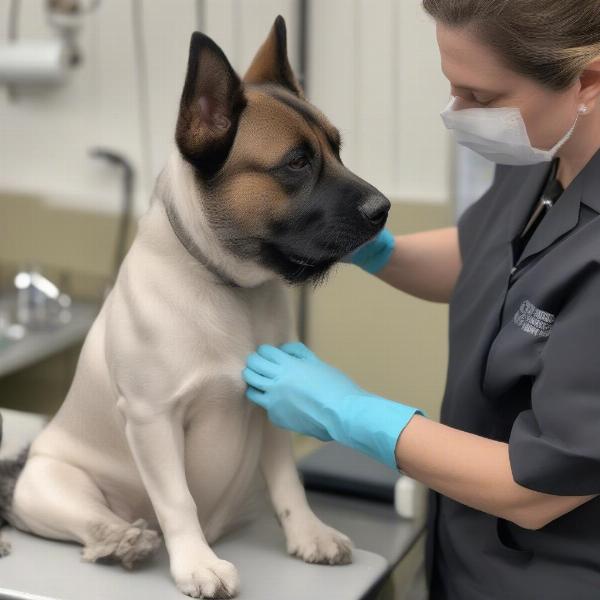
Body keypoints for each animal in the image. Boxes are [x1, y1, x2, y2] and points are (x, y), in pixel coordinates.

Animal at [0, 16, 390, 596]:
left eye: (338, 149)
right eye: (297, 163)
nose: (384, 209)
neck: (227, 286)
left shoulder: (273, 404)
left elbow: (288, 483)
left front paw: (307, 534)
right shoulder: (152, 419)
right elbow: (176, 499)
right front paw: (196, 562)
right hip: (50, 484)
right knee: (89, 522)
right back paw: (122, 539)